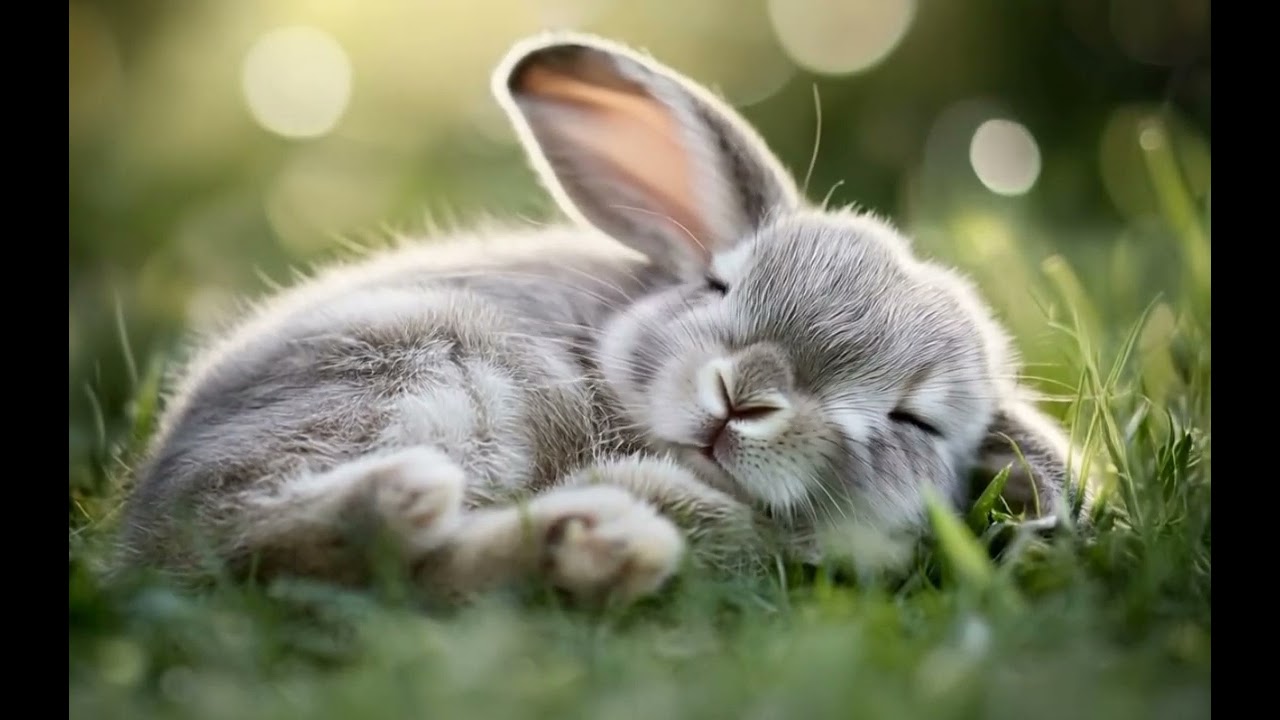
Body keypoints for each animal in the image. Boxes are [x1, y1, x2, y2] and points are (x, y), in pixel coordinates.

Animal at [117, 31, 1094, 607]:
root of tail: (140, 527)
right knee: (251, 533)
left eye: (912, 420)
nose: (745, 398)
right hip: (425, 370)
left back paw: (593, 537)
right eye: (721, 287)